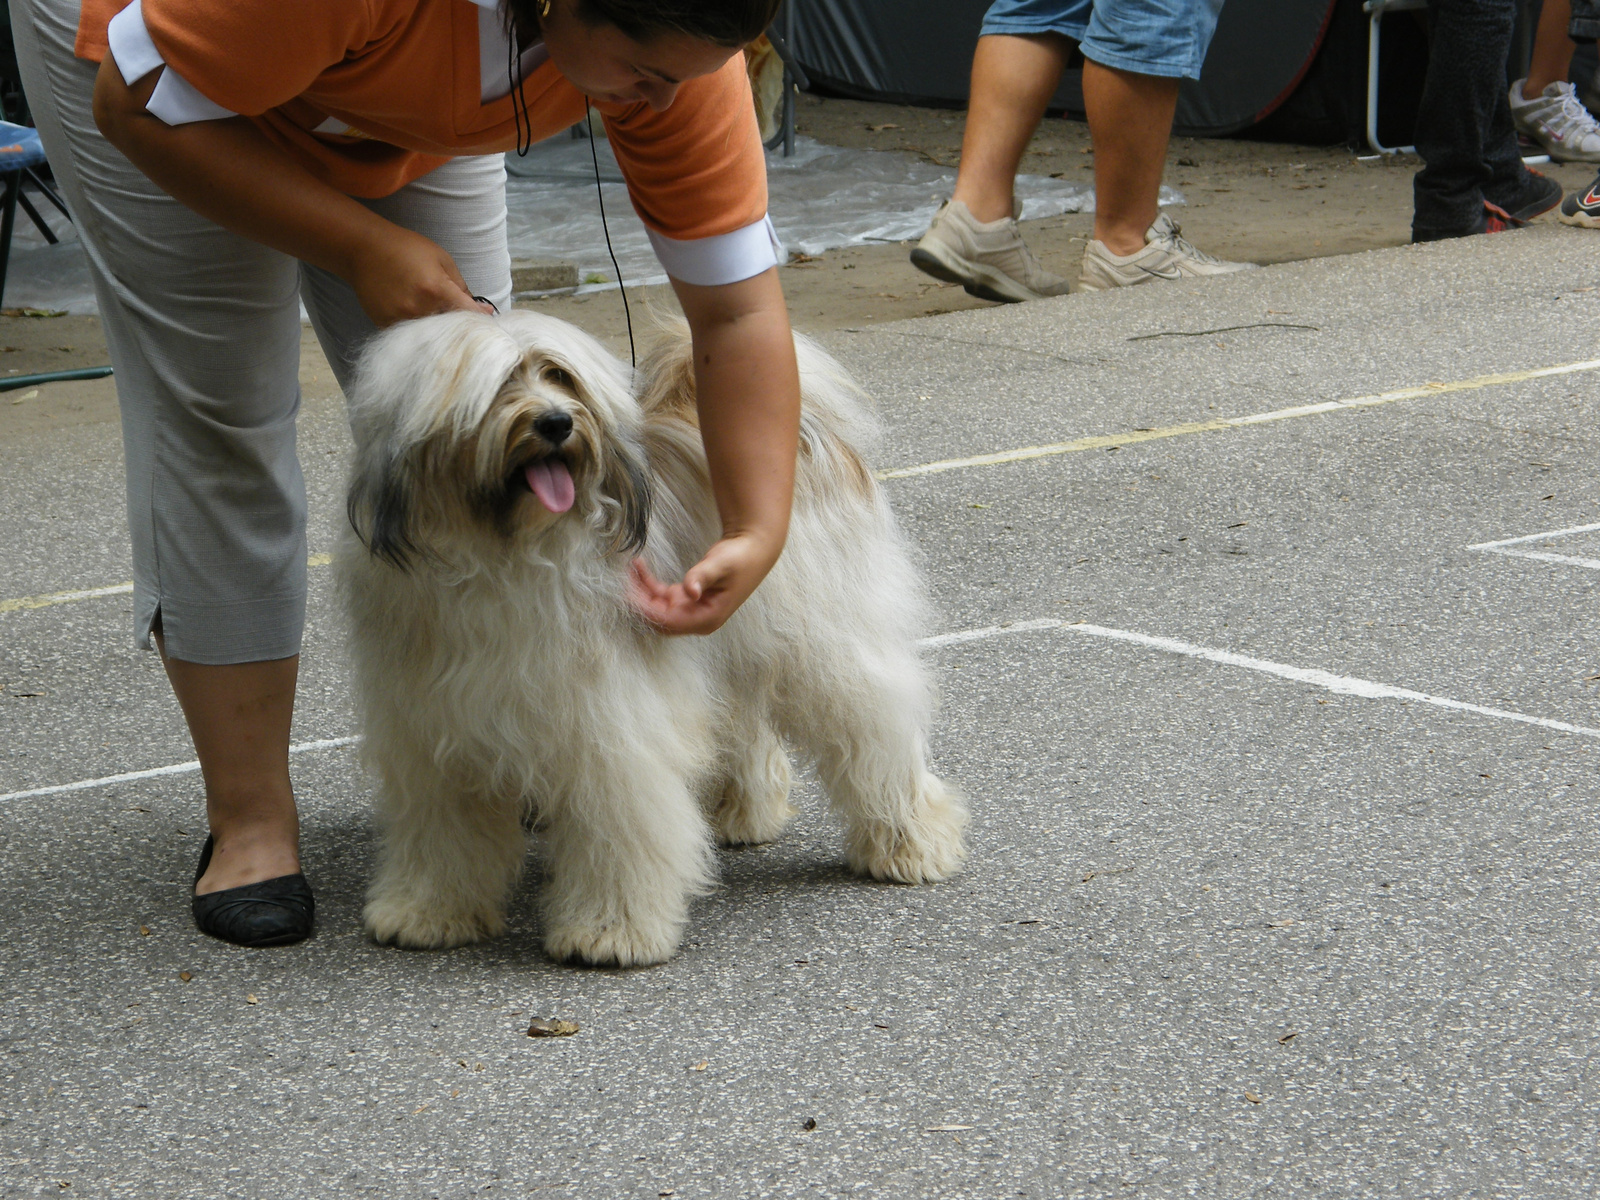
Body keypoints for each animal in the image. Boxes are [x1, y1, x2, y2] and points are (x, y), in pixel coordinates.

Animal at [337, 310, 960, 966]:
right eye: (502, 382)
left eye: (560, 376)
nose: (556, 423)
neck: (504, 557)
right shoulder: (432, 733)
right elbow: (443, 832)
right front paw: (430, 911)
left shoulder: (611, 726)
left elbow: (621, 827)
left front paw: (611, 931)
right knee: (743, 720)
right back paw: (742, 810)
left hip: (824, 638)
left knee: (875, 730)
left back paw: (910, 842)